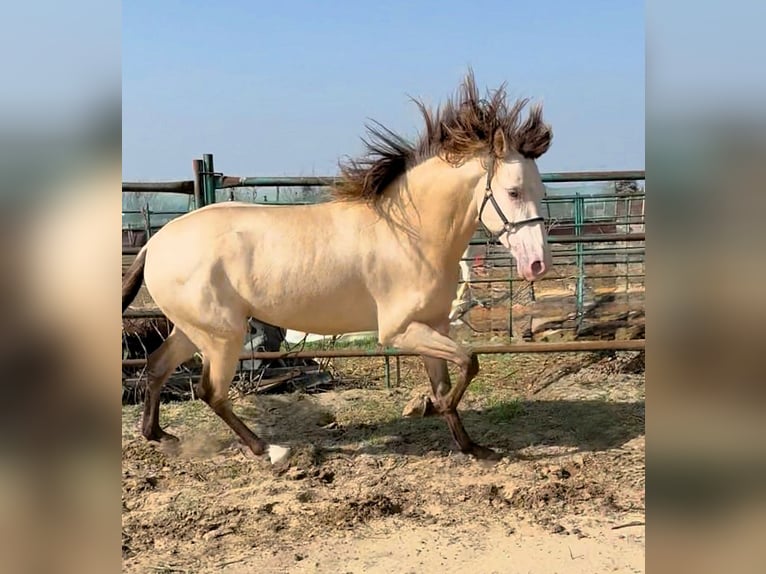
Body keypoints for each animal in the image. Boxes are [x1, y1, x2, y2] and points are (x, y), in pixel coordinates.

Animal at [121, 70, 553, 463]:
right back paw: (270, 451)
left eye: (540, 190)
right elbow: (470, 361)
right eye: (513, 192)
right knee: (210, 391)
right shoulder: (399, 331)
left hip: (194, 329)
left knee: (157, 366)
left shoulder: (433, 324)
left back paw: (162, 437)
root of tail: (155, 243)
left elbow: (451, 376)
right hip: (222, 335)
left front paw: (472, 446)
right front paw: (436, 409)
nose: (537, 264)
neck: (410, 234)